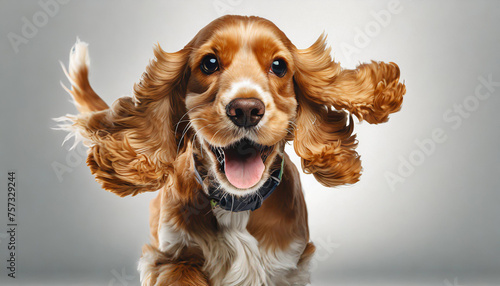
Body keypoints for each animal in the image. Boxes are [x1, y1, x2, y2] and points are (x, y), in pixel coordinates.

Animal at [57, 15, 406, 286]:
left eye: (279, 66)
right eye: (209, 63)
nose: (246, 109)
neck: (237, 207)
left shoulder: (288, 266)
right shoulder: (169, 257)